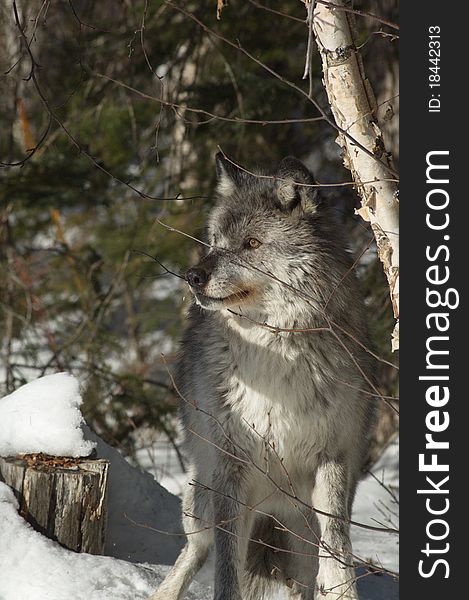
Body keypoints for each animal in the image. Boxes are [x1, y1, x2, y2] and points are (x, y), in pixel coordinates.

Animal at [152, 155, 374, 600]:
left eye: (251, 244)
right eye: (215, 240)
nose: (193, 276)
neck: (275, 349)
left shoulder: (333, 458)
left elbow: (338, 548)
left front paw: (342, 591)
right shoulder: (230, 465)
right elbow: (226, 568)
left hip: (296, 527)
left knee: (304, 573)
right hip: (202, 500)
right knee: (197, 551)